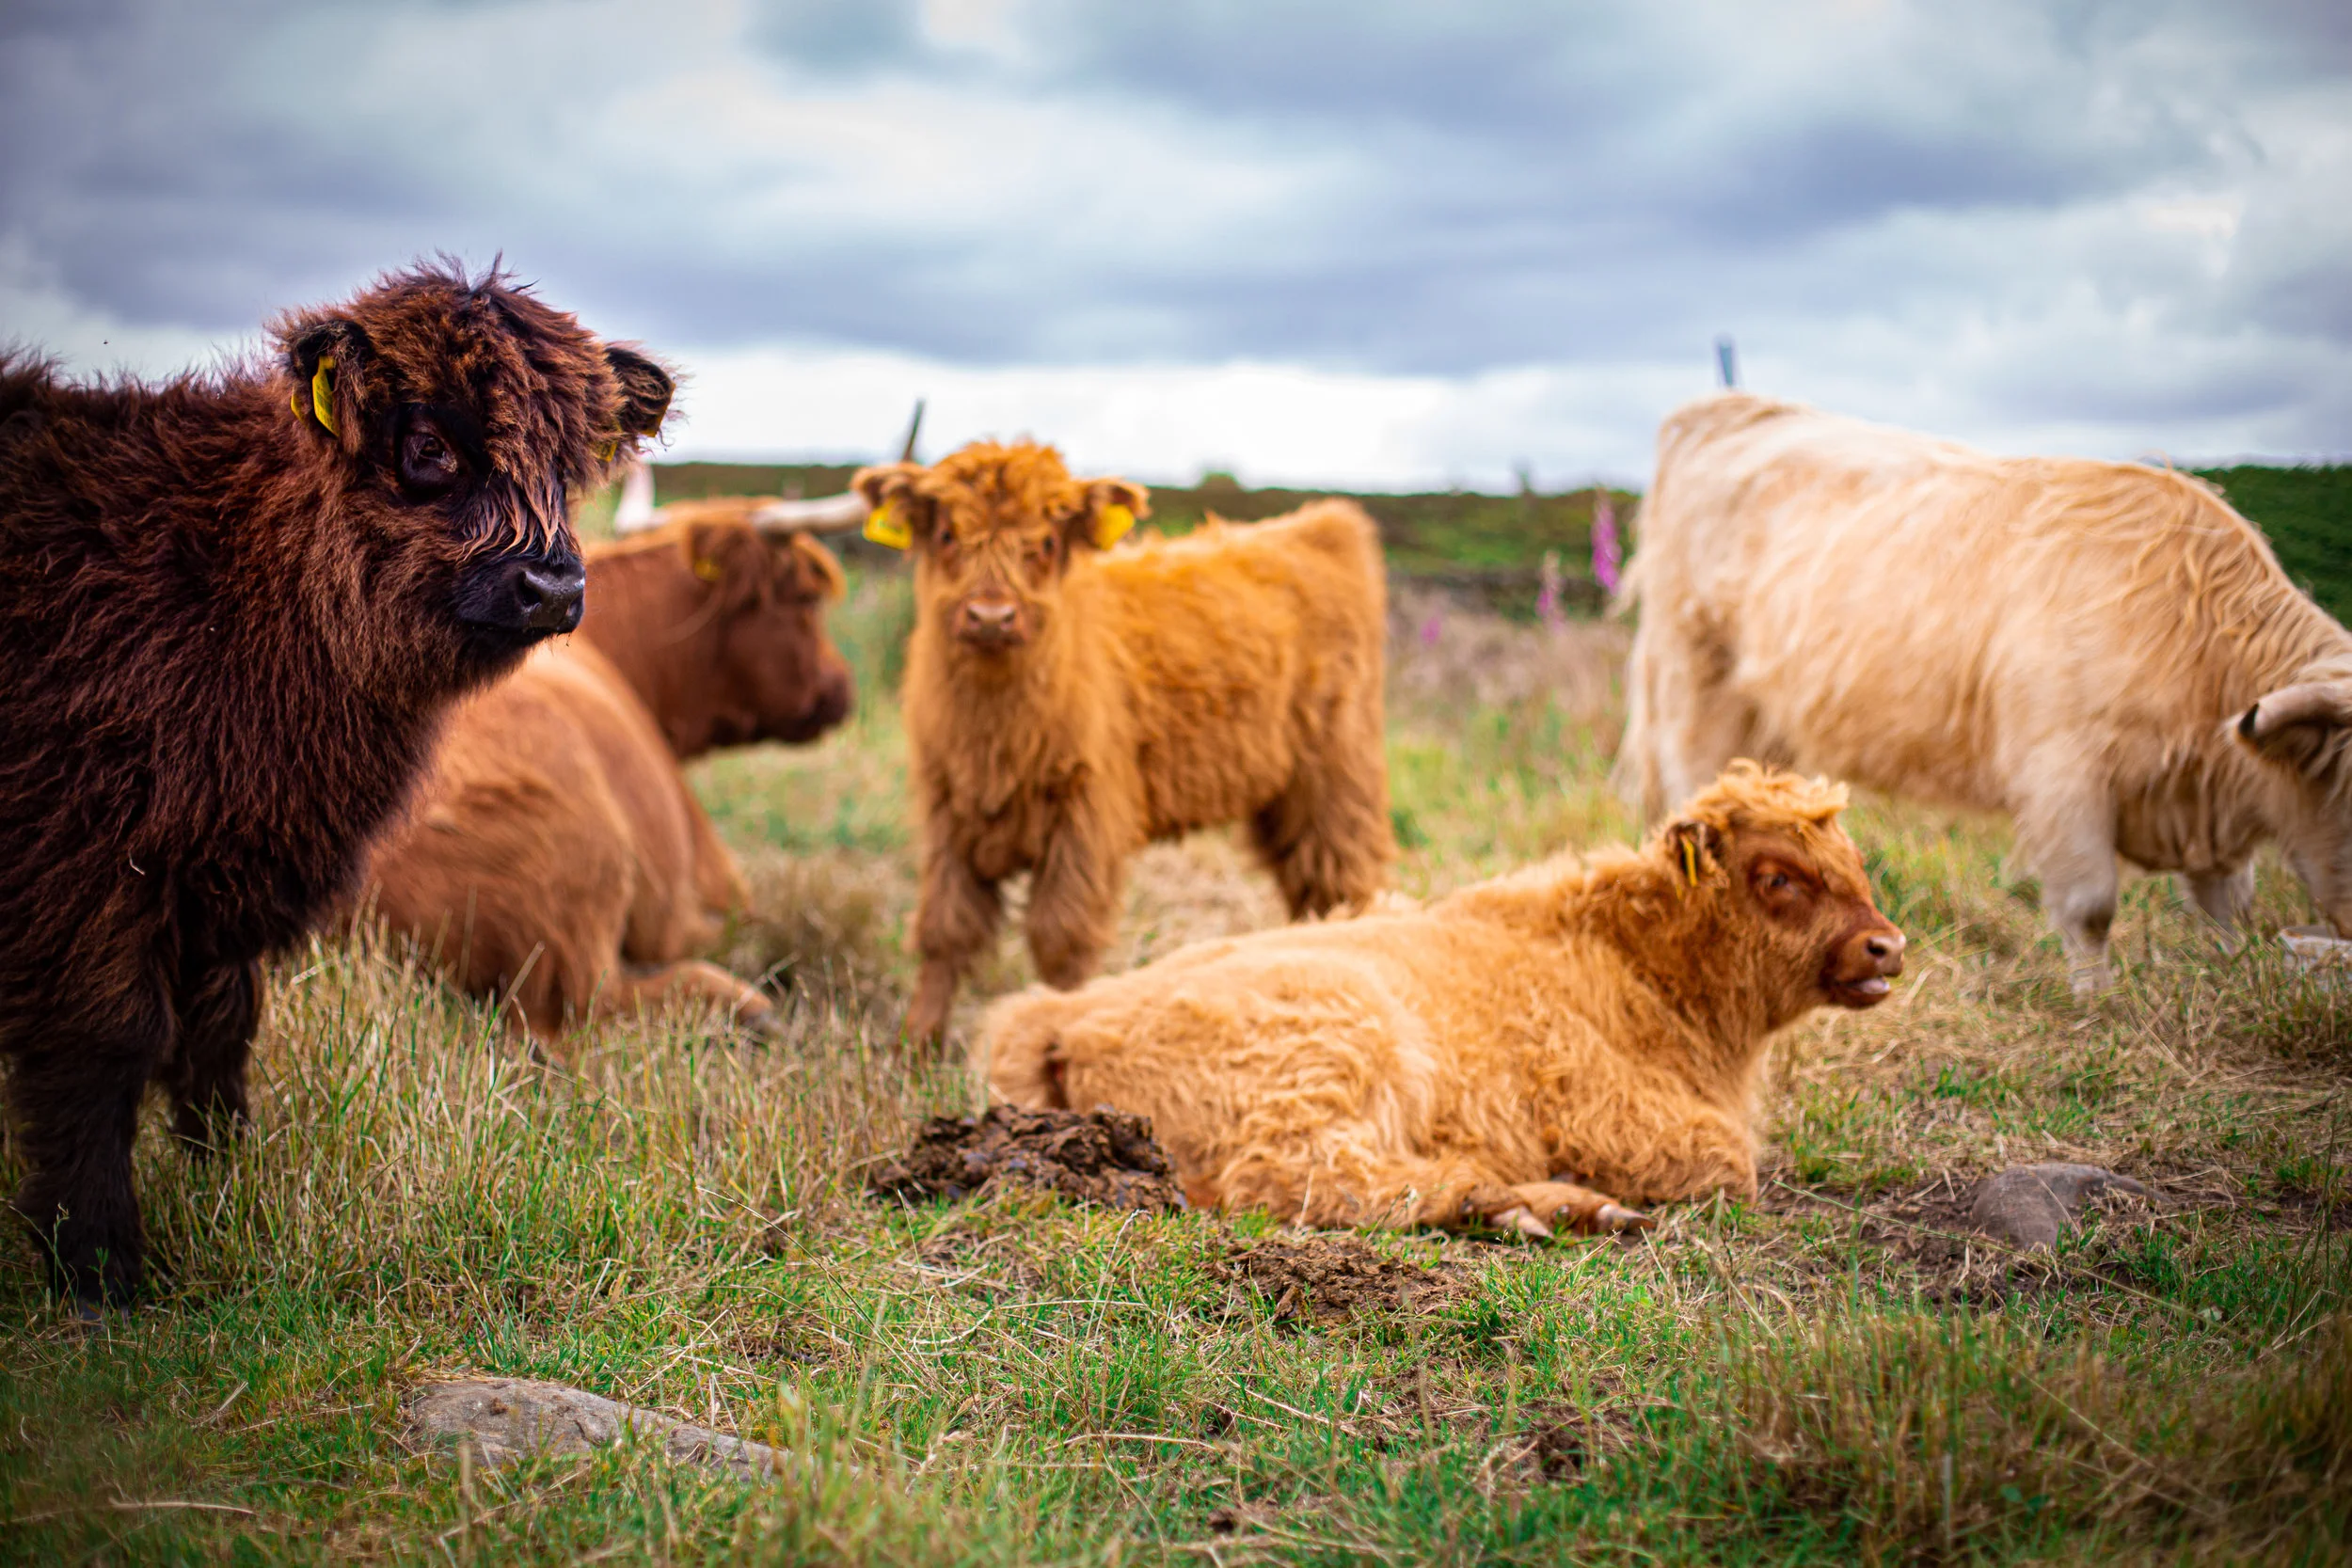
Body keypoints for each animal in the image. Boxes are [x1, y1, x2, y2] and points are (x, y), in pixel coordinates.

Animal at [0, 262, 671, 1306]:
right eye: (429, 446)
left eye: (568, 462)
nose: (554, 587)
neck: (224, 577)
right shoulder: (81, 880)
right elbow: (105, 1047)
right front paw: (102, 1270)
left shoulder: (219, 880)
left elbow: (218, 1031)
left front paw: (227, 1176)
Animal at [852, 440, 1395, 1045]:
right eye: (948, 535)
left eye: (1045, 543)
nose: (991, 616)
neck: (996, 731)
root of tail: (1319, 525)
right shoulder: (947, 807)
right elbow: (944, 931)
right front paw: (916, 1043)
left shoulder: (1086, 815)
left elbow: (1060, 938)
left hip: (1336, 775)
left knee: (1343, 883)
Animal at [984, 763, 1905, 1236]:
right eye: (1778, 876)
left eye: (1857, 863)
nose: (1886, 945)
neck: (1629, 960)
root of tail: (1063, 1013)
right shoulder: (1620, 1117)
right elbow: (1728, 1164)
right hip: (1342, 1048)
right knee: (1303, 1178)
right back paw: (1529, 1204)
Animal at [1618, 391, 2352, 993]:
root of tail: (1734, 407)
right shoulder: (2063, 775)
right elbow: (2091, 905)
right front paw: (2100, 1006)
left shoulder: (2208, 809)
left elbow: (2228, 910)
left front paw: (2231, 982)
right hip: (1696, 688)